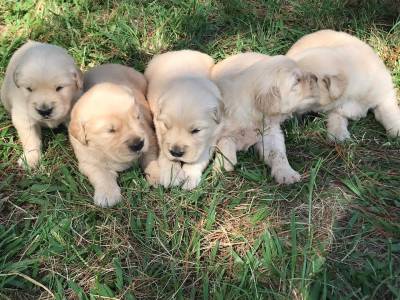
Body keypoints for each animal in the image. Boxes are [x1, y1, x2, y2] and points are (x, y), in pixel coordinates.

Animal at [1, 40, 83, 169]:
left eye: (59, 88)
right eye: (29, 89)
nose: (44, 111)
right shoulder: (23, 116)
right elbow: (30, 138)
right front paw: (30, 159)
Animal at [69, 64, 158, 207]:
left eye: (137, 117)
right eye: (110, 130)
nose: (138, 144)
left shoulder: (148, 136)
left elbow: (150, 157)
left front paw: (159, 175)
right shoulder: (88, 161)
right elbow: (101, 174)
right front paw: (107, 194)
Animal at [145, 50, 225, 189]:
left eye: (196, 130)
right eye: (166, 126)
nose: (176, 153)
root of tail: (180, 51)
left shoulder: (213, 135)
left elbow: (201, 155)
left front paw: (190, 176)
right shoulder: (158, 127)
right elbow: (164, 152)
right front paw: (172, 174)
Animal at [212, 54, 318, 185]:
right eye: (297, 81)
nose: (316, 77)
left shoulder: (270, 133)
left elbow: (277, 152)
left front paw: (287, 174)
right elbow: (225, 142)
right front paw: (223, 167)